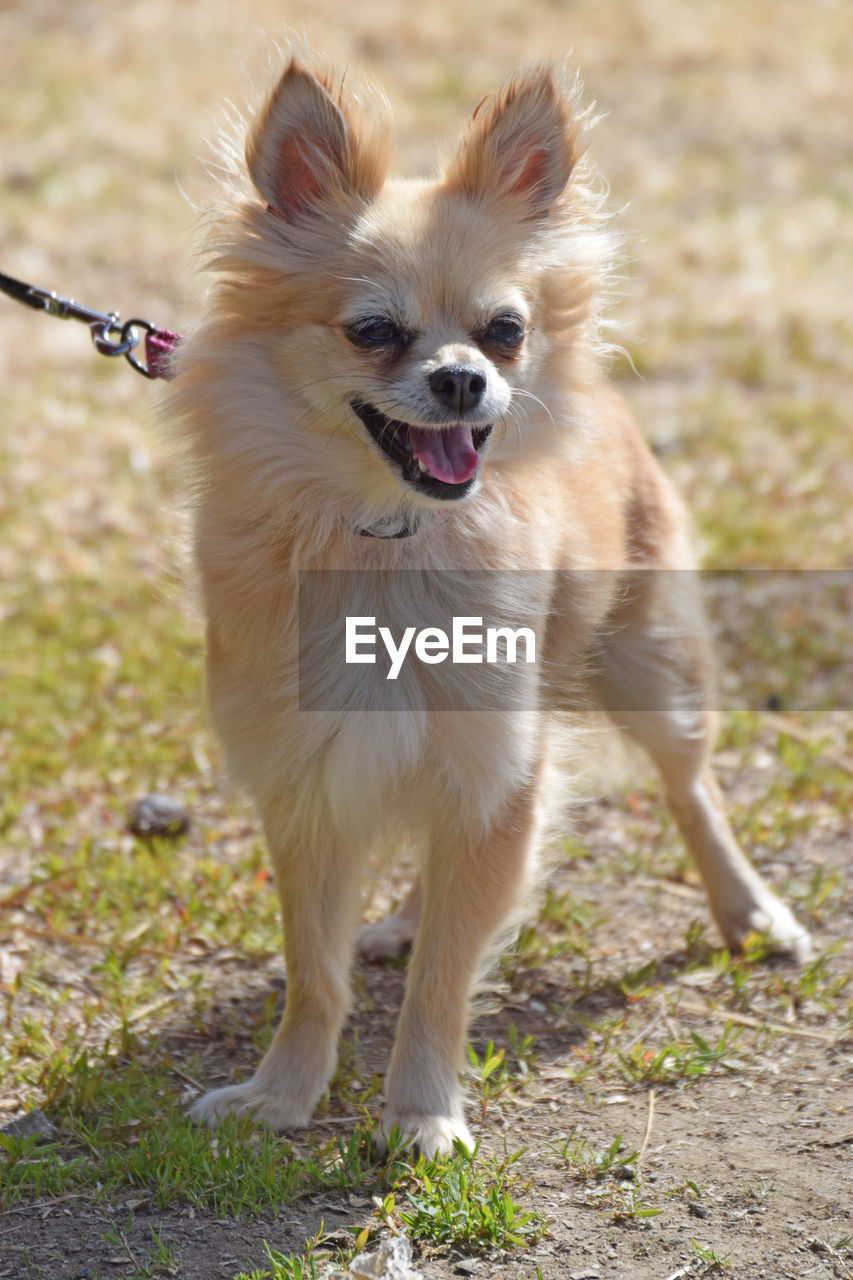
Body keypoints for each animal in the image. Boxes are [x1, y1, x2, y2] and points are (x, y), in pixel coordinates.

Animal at [167, 49, 809, 1157]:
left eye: (505, 332)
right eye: (373, 332)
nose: (466, 380)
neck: (385, 542)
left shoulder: (498, 773)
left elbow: (444, 982)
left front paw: (420, 1111)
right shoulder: (309, 782)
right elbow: (312, 969)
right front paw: (282, 1095)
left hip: (651, 664)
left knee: (692, 789)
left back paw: (751, 911)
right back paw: (403, 916)